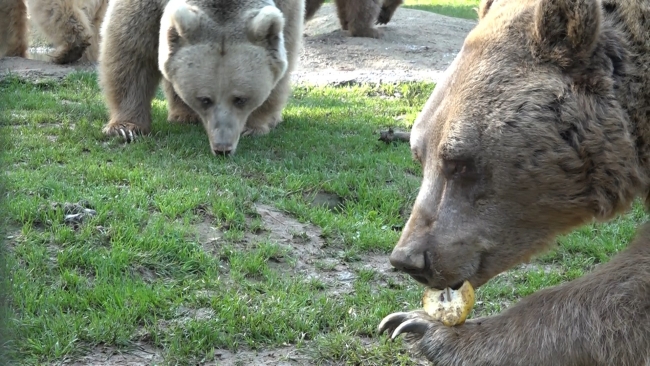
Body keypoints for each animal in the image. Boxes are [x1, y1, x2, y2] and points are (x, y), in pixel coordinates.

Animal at [98, 0, 304, 156]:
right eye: (205, 99)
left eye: (241, 99)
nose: (222, 148)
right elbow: (131, 46)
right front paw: (125, 128)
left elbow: (287, 45)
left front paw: (254, 126)